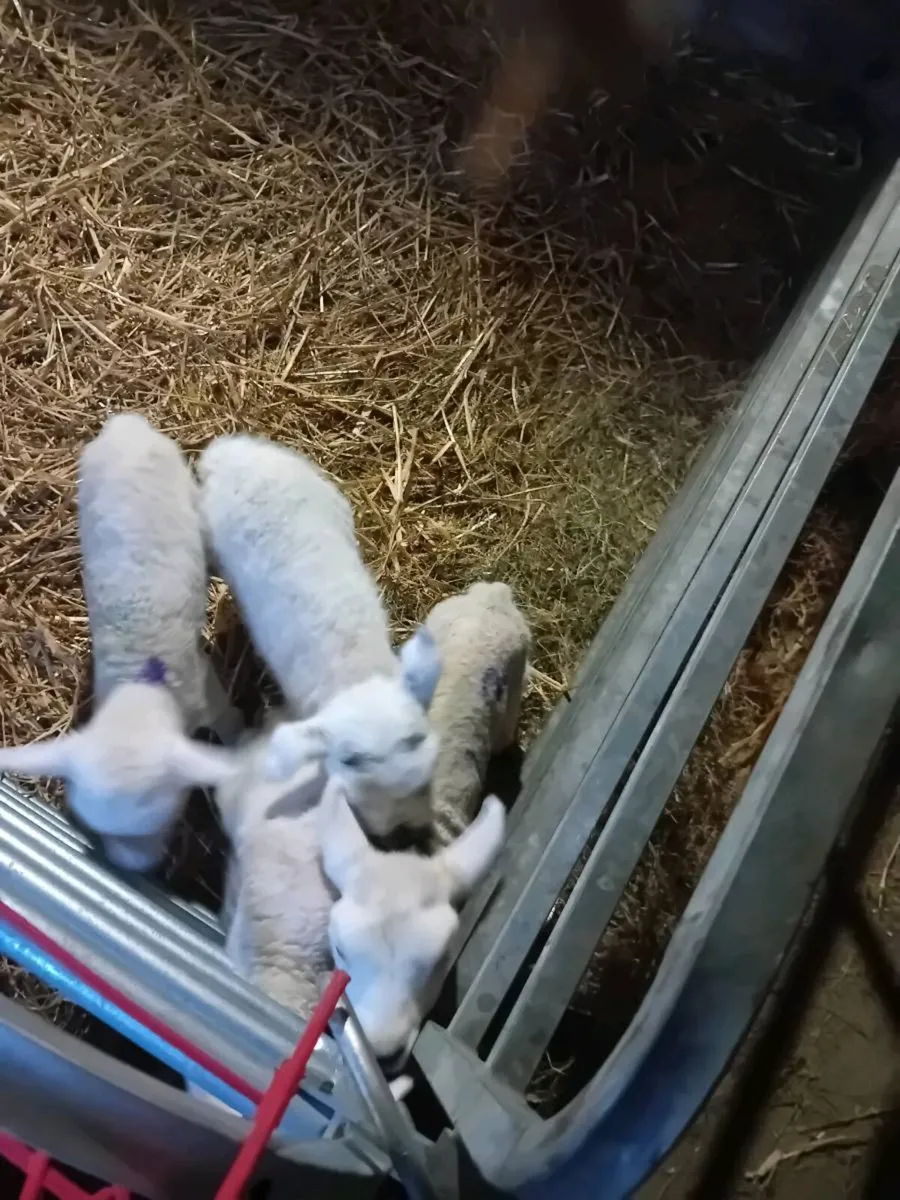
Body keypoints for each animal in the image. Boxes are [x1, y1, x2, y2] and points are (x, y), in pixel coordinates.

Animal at [0, 413, 241, 872]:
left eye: (170, 810)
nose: (136, 869)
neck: (141, 685)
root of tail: (125, 425)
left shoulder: (208, 690)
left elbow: (229, 720)